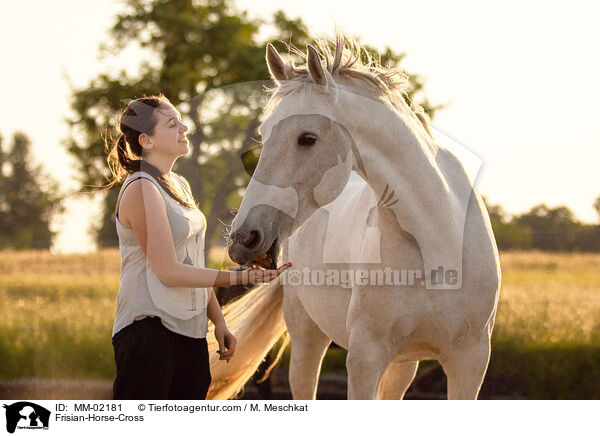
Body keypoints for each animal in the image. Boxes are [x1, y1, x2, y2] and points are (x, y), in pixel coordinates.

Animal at [209, 35, 500, 400]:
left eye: (308, 138)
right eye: (263, 132)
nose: (244, 238)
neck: (435, 239)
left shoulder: (471, 362)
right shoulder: (365, 358)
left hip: (403, 364)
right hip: (308, 337)